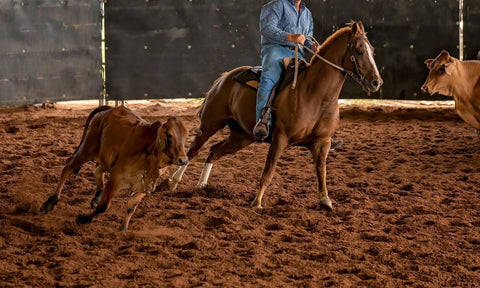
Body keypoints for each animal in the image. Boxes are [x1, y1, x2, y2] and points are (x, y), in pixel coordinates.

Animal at [39, 104, 188, 231]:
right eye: (169, 135)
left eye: (186, 136)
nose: (183, 160)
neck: (151, 156)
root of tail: (109, 110)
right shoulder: (116, 177)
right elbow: (103, 206)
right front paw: (83, 219)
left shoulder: (144, 187)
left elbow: (131, 208)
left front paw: (123, 228)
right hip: (87, 149)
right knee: (68, 168)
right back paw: (50, 202)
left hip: (103, 157)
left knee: (97, 170)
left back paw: (96, 197)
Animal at [169, 20, 382, 209]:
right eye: (360, 51)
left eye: (373, 51)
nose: (376, 82)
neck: (314, 94)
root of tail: (225, 78)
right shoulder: (281, 138)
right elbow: (268, 171)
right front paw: (257, 202)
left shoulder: (322, 142)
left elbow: (321, 171)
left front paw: (325, 200)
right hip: (211, 124)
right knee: (193, 151)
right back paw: (172, 182)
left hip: (242, 136)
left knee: (213, 151)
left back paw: (202, 186)